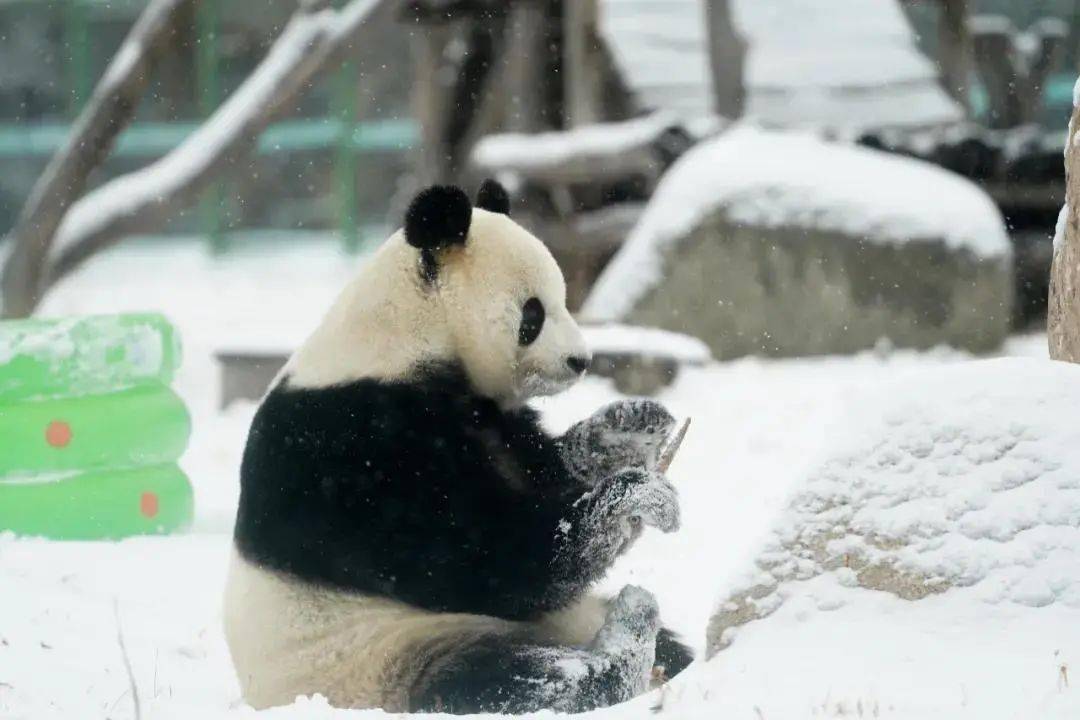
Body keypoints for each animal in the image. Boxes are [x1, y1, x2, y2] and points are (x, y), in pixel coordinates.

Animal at [225, 180, 691, 716]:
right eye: (533, 313)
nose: (581, 360)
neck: (401, 339)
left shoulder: (488, 416)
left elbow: (546, 470)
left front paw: (628, 430)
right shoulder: (353, 452)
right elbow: (484, 561)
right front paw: (634, 496)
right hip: (380, 658)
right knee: (513, 680)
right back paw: (628, 637)